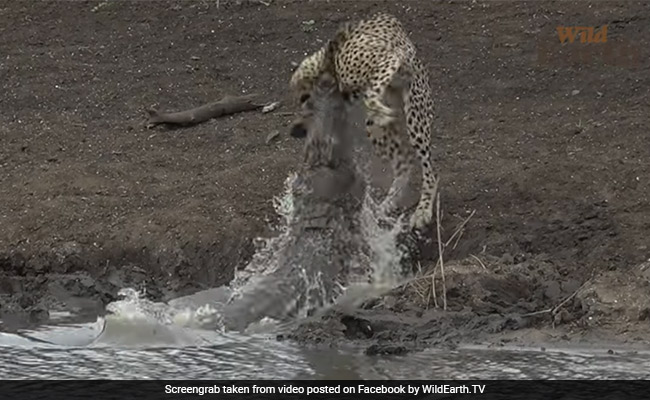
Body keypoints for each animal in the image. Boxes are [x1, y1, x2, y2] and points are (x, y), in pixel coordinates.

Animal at [288, 12, 438, 231]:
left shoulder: (389, 58)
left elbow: (371, 92)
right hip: (377, 128)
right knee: (405, 161)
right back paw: (386, 205)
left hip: (415, 113)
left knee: (429, 170)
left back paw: (423, 210)